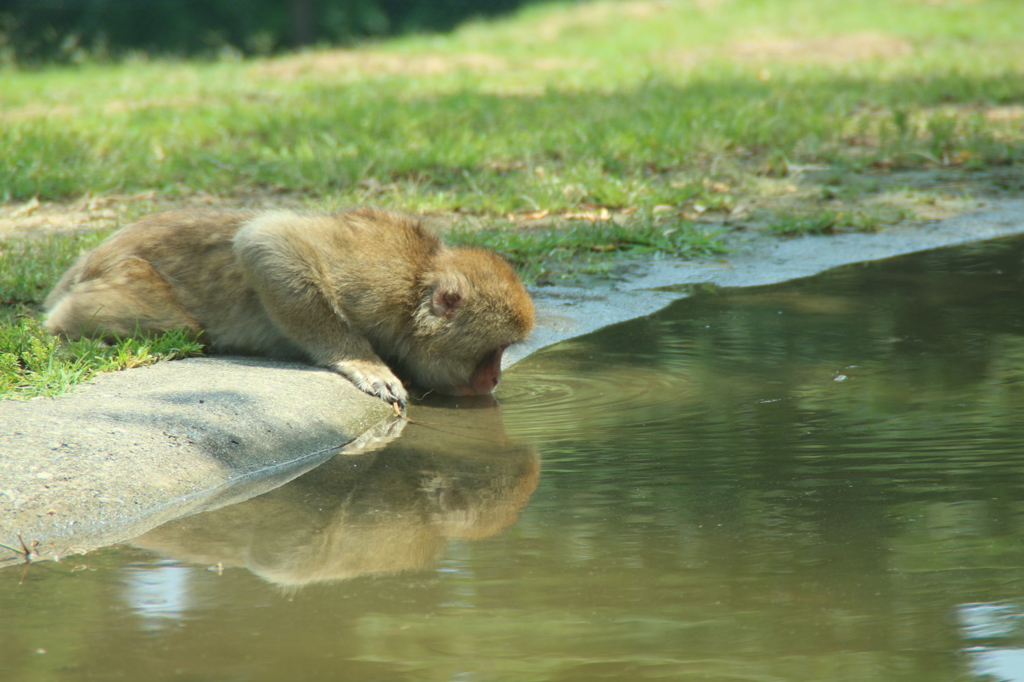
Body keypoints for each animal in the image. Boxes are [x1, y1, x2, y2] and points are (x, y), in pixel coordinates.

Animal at [41, 206, 536, 405]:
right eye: (494, 352)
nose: (495, 378)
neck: (415, 289)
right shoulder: (378, 279)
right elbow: (267, 240)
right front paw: (363, 361)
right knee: (183, 325)